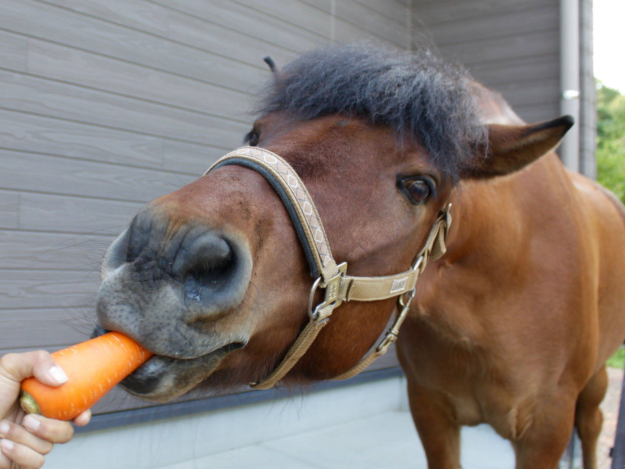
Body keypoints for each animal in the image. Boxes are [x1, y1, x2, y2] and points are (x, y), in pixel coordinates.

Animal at [93, 44, 625, 469]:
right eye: (255, 135)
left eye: (419, 186)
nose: (161, 252)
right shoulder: (430, 410)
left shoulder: (545, 429)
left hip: (594, 387)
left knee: (593, 429)